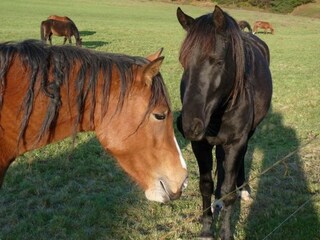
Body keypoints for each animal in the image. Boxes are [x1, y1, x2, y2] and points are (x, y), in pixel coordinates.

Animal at [176, 5, 272, 240]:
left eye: (218, 61)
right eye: (183, 61)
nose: (188, 125)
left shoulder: (235, 142)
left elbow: (229, 192)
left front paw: (226, 233)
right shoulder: (200, 143)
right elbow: (205, 185)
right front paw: (206, 230)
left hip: (247, 135)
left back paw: (243, 190)